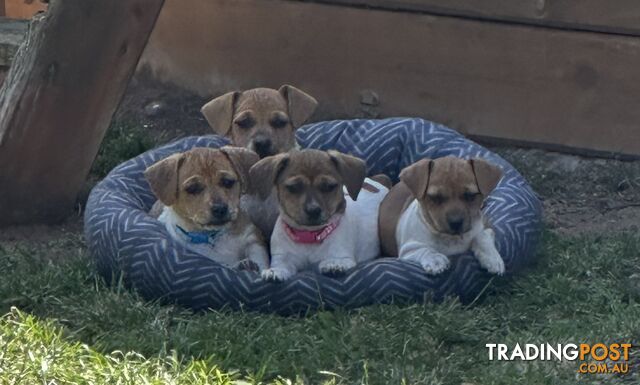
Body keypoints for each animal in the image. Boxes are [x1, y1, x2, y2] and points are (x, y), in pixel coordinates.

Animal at [250, 148, 388, 280]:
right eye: (293, 187)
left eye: (329, 186)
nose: (313, 210)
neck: (309, 236)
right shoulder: (282, 257)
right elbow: (282, 265)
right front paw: (275, 271)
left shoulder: (344, 256)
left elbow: (336, 260)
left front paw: (334, 265)